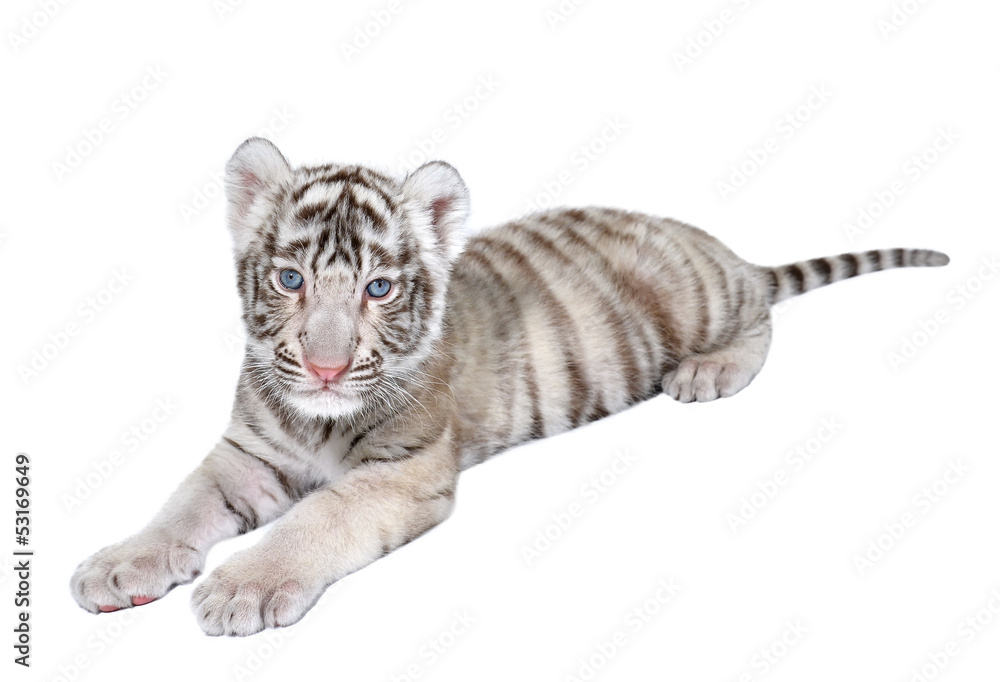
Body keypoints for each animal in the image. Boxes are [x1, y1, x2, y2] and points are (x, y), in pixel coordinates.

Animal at [70, 137, 948, 636]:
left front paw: (243, 587)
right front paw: (119, 566)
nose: (324, 369)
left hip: (702, 299)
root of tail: (716, 244)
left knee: (762, 317)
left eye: (378, 290)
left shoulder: (402, 472)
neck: (319, 419)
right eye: (291, 280)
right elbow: (182, 503)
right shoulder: (246, 455)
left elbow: (318, 517)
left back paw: (709, 372)